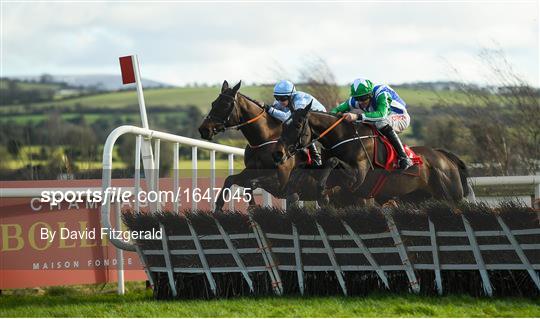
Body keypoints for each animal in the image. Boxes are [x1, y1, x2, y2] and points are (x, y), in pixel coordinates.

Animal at [198, 80, 358, 210]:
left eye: (225, 105)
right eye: (213, 103)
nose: (203, 129)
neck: (264, 140)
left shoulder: (281, 181)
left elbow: (251, 184)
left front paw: (253, 206)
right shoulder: (251, 170)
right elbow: (231, 179)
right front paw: (219, 206)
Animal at [272, 102, 470, 205]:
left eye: (298, 124)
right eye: (283, 124)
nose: (278, 154)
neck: (344, 137)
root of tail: (444, 156)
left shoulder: (357, 178)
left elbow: (333, 162)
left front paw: (321, 192)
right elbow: (308, 169)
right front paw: (293, 187)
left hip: (451, 197)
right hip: (417, 198)